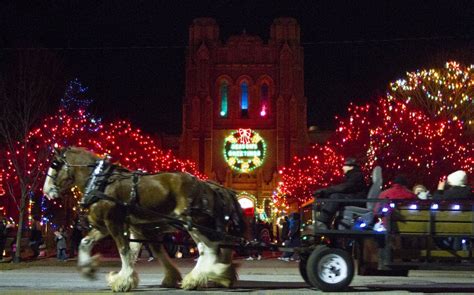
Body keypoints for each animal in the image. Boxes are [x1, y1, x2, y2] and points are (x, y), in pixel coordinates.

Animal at [41, 147, 244, 292]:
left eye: (55, 164)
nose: (47, 191)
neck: (102, 182)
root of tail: (209, 186)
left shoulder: (115, 222)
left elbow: (124, 250)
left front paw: (122, 281)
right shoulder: (117, 226)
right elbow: (88, 242)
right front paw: (88, 269)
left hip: (193, 223)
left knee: (207, 249)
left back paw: (199, 277)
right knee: (218, 247)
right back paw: (220, 275)